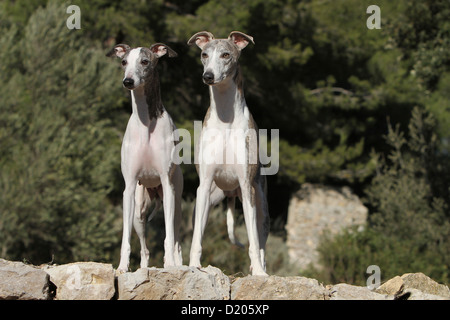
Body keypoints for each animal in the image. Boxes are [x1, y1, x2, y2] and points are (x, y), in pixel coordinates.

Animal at [107, 42, 183, 272]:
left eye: (145, 61)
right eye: (124, 62)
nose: (128, 81)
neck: (147, 122)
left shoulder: (167, 183)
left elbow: (169, 238)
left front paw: (170, 265)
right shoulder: (130, 186)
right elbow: (125, 238)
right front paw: (122, 267)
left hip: (175, 200)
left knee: (176, 239)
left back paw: (177, 263)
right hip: (139, 211)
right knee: (145, 248)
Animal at [187, 30, 268, 276]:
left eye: (226, 55)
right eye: (204, 54)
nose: (208, 76)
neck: (225, 117)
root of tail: (230, 193)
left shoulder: (246, 185)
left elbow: (253, 240)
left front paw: (258, 272)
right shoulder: (203, 185)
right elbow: (196, 238)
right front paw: (193, 266)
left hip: (260, 203)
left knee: (261, 239)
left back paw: (261, 268)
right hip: (206, 200)